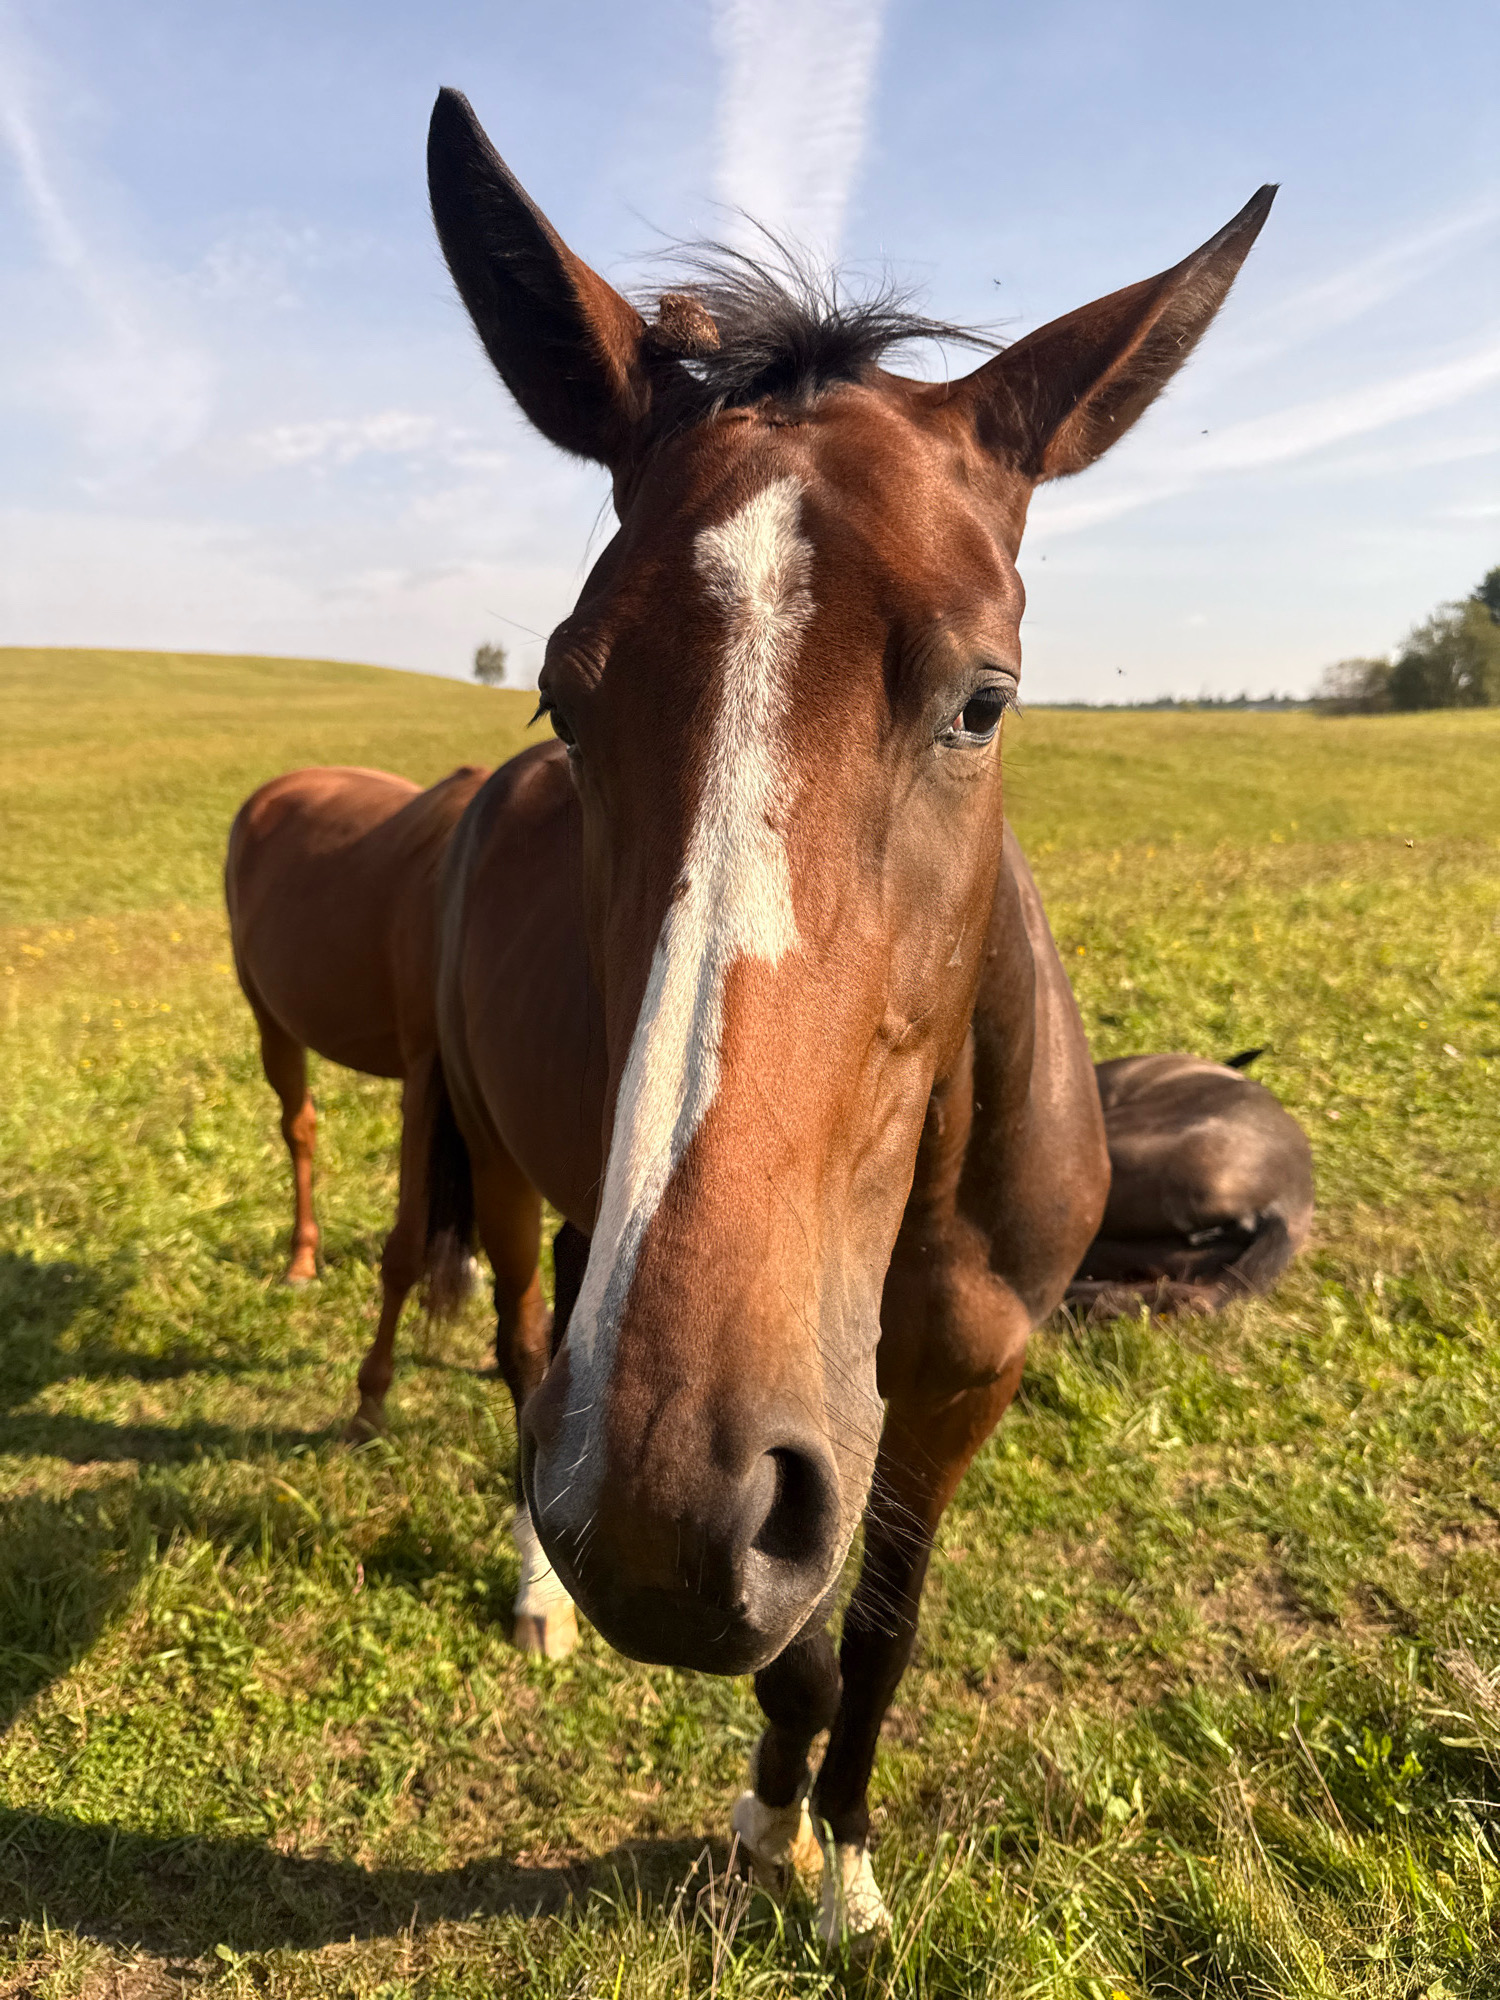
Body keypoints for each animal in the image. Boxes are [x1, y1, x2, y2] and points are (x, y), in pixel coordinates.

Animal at [225, 763, 489, 1439]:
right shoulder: (428, 1079)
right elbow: (403, 1252)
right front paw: (370, 1400)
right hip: (272, 1022)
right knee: (299, 1130)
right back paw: (301, 1261)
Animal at [419, 86, 1275, 1940]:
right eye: (566, 696)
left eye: (983, 702)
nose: (662, 1507)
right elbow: (801, 1657)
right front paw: (765, 1837)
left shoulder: (963, 1388)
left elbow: (878, 1636)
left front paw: (853, 1875)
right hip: (514, 1186)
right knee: (522, 1351)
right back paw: (537, 1589)